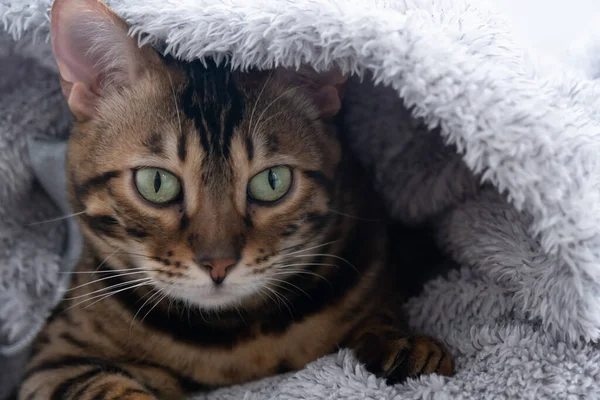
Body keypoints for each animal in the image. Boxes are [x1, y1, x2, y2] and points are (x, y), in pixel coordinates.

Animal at [17, 0, 454, 398]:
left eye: (272, 182)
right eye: (156, 183)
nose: (218, 264)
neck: (233, 338)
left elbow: (380, 317)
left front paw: (405, 348)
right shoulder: (54, 359)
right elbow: (109, 388)